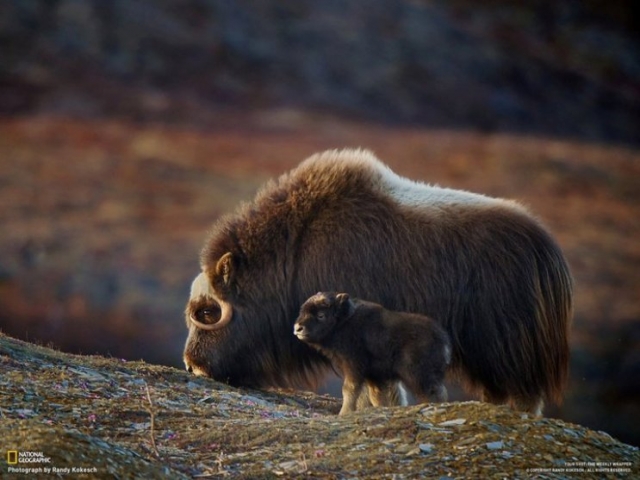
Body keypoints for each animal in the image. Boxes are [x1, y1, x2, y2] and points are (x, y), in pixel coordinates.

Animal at [296, 290, 450, 414]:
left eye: (321, 315)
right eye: (302, 311)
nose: (298, 328)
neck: (344, 322)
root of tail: (443, 341)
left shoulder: (354, 366)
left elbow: (349, 389)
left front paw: (344, 413)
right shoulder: (374, 376)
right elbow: (376, 396)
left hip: (418, 376)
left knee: (432, 393)